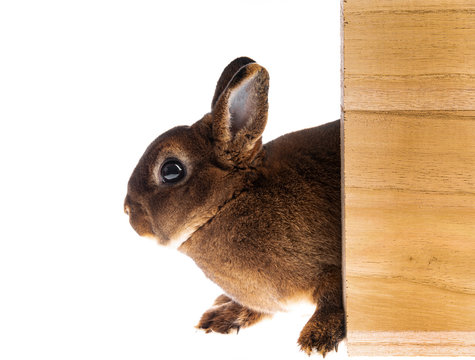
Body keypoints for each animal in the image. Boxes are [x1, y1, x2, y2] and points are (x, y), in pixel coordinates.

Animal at [124, 57, 344, 356]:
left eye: (171, 170)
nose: (129, 211)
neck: (231, 200)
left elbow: (334, 299)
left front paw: (316, 338)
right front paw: (221, 319)